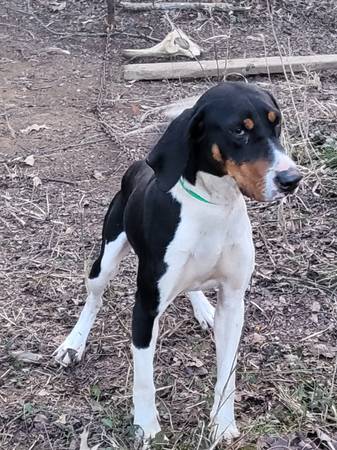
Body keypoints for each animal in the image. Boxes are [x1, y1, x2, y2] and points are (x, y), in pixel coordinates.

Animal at [53, 82, 300, 444]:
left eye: (277, 123)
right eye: (238, 130)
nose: (291, 179)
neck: (214, 206)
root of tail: (138, 166)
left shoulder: (233, 302)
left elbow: (228, 373)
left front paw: (223, 424)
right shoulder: (145, 308)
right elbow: (144, 380)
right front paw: (146, 428)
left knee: (191, 287)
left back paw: (203, 310)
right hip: (106, 258)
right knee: (95, 296)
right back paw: (74, 343)